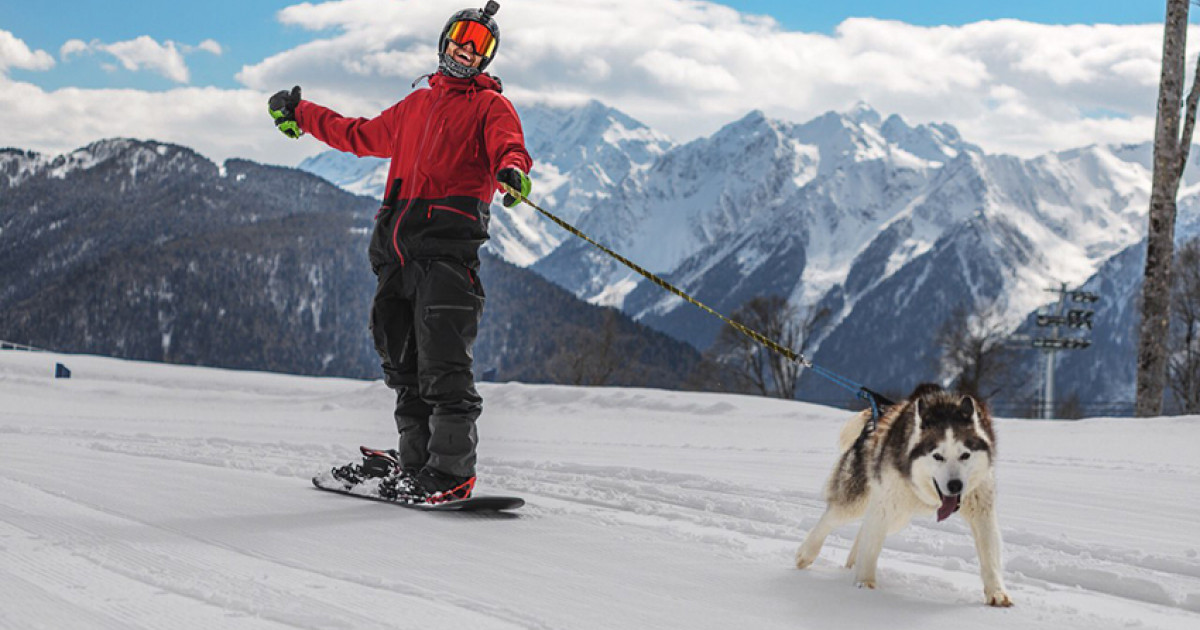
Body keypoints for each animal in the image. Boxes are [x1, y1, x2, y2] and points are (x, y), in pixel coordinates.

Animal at [796, 381, 1012, 607]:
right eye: (937, 456)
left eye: (965, 455)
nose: (955, 486)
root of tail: (879, 412)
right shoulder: (885, 501)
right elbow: (870, 545)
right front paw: (864, 584)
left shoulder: (981, 506)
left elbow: (989, 551)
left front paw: (997, 592)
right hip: (863, 499)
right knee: (833, 518)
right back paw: (806, 553)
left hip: (897, 516)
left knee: (866, 528)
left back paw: (853, 561)